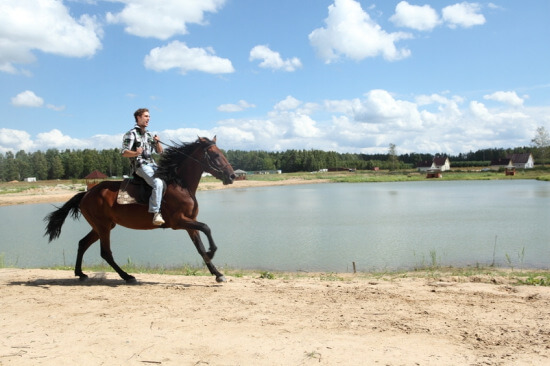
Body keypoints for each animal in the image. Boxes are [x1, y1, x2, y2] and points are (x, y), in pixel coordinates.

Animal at [42, 137, 233, 284]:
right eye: (216, 155)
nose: (232, 176)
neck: (180, 184)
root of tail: (87, 193)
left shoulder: (189, 223)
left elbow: (200, 247)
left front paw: (217, 273)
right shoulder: (178, 221)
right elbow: (207, 227)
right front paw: (212, 251)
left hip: (101, 226)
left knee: (83, 243)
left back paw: (80, 273)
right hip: (103, 227)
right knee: (105, 252)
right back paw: (127, 276)